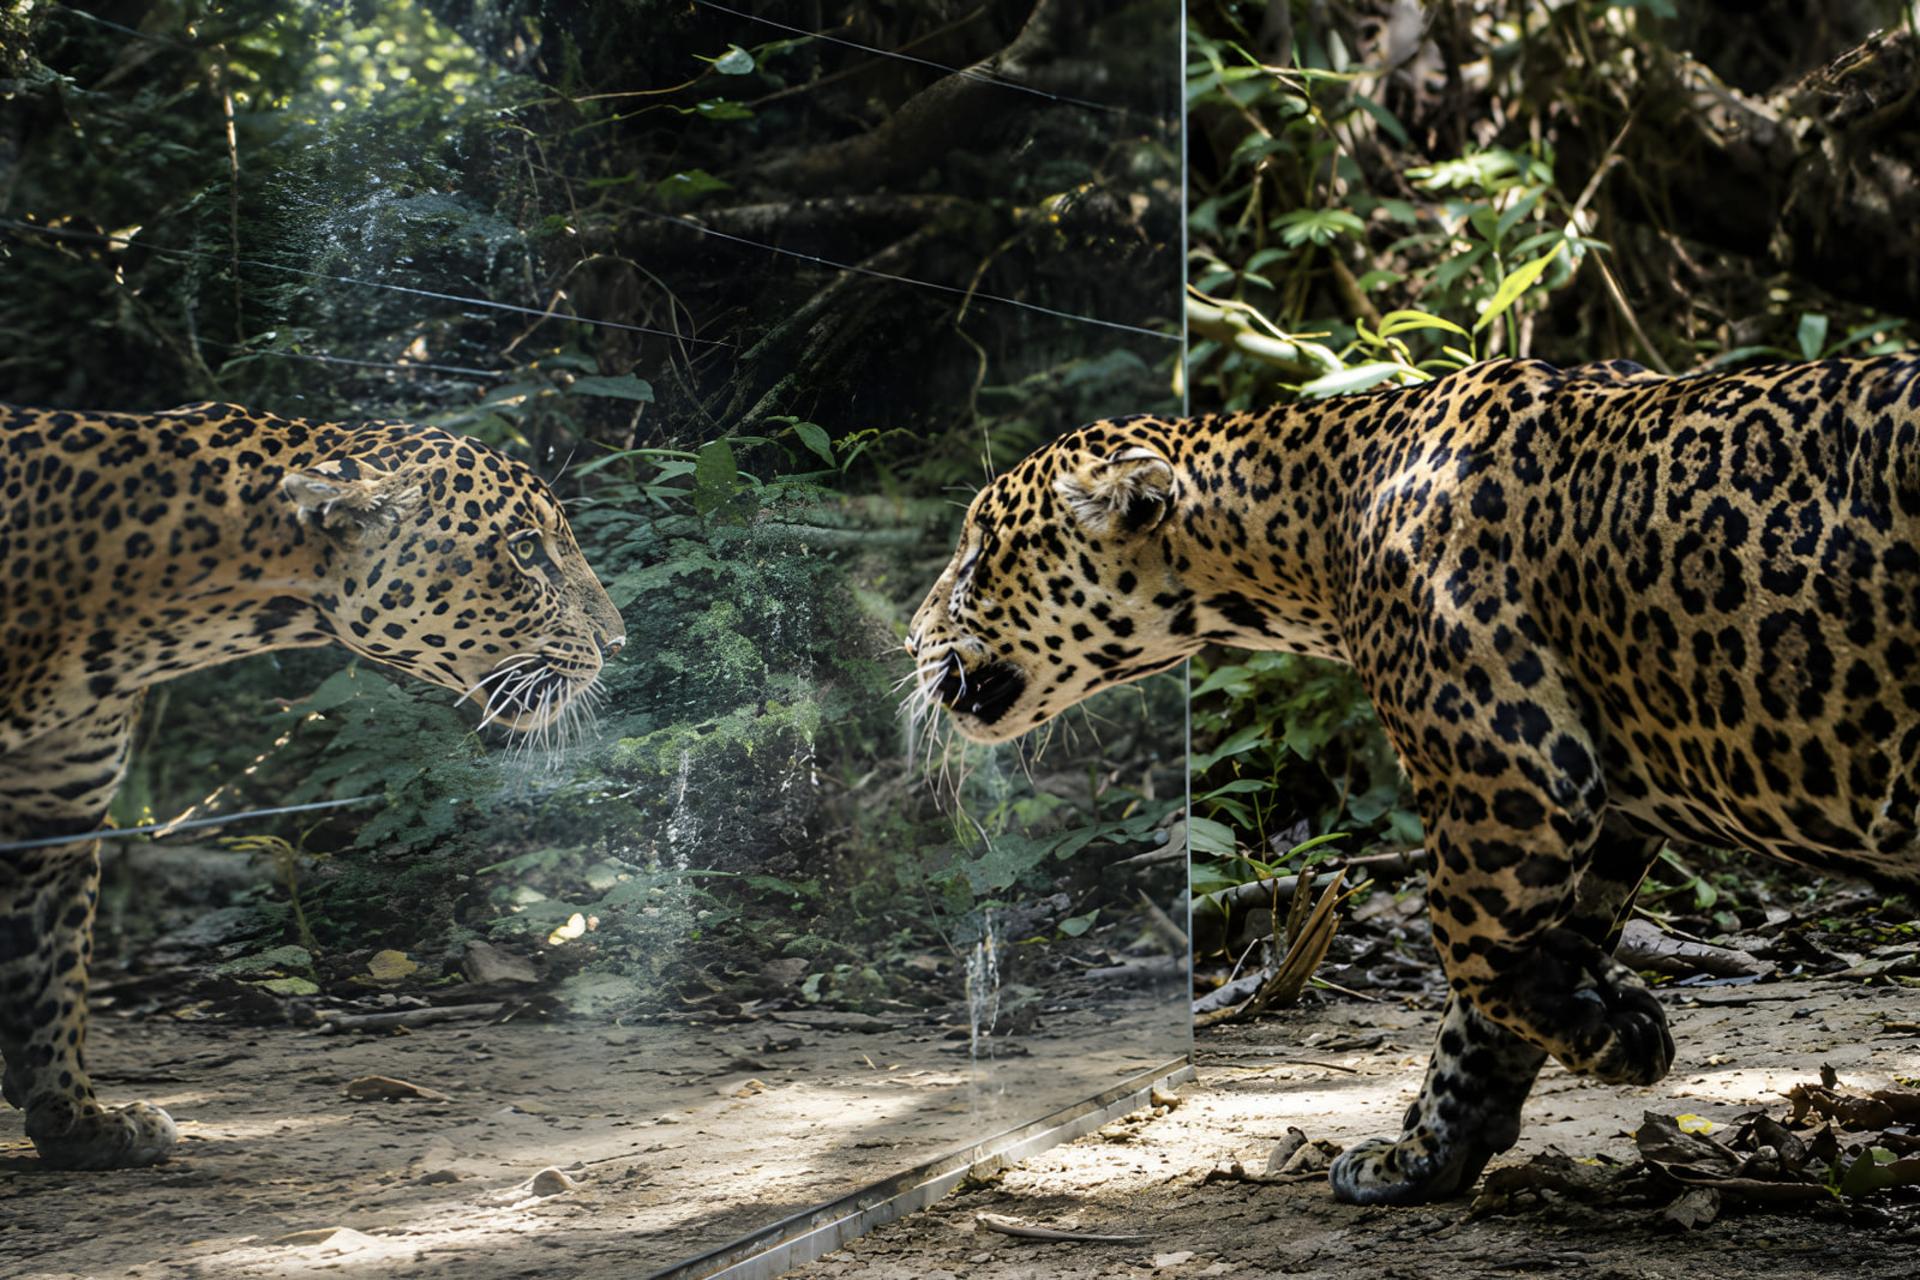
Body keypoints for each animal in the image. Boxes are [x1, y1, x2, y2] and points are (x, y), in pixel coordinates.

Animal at [906, 355, 1920, 1205]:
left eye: (977, 554)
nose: (909, 639)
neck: (1308, 524)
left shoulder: (1515, 775)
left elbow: (1467, 948)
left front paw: (1609, 1025)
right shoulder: (1593, 800)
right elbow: (1478, 1013)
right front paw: (1427, 1153)